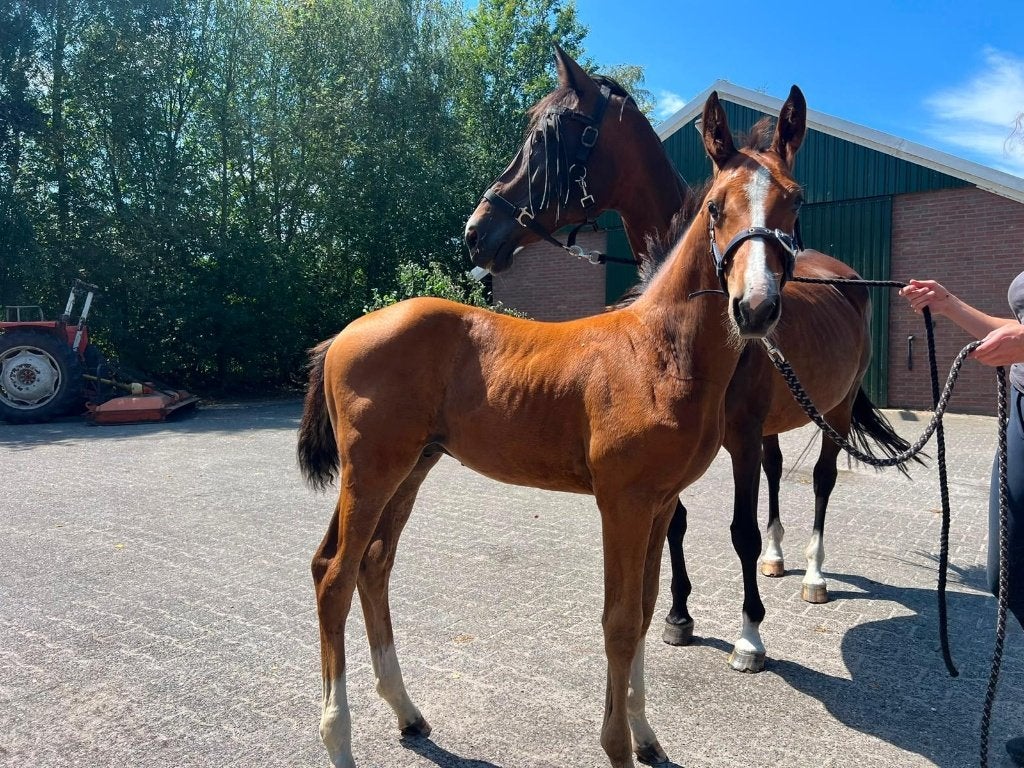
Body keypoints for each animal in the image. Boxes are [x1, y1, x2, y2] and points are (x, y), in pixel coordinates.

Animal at [297, 87, 807, 767]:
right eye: (715, 207)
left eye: (795, 201)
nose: (755, 308)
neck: (657, 350)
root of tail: (343, 334)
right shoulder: (621, 501)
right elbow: (619, 621)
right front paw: (617, 746)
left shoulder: (658, 502)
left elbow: (646, 608)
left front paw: (647, 737)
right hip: (372, 469)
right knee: (334, 574)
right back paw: (340, 741)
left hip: (411, 466)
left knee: (371, 565)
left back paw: (406, 711)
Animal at [464, 46, 916, 673]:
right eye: (714, 207)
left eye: (556, 140)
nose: (477, 233)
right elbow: (677, 521)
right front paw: (679, 616)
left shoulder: (741, 435)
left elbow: (740, 530)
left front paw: (750, 637)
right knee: (778, 470)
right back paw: (778, 558)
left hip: (837, 408)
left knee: (823, 479)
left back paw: (814, 574)